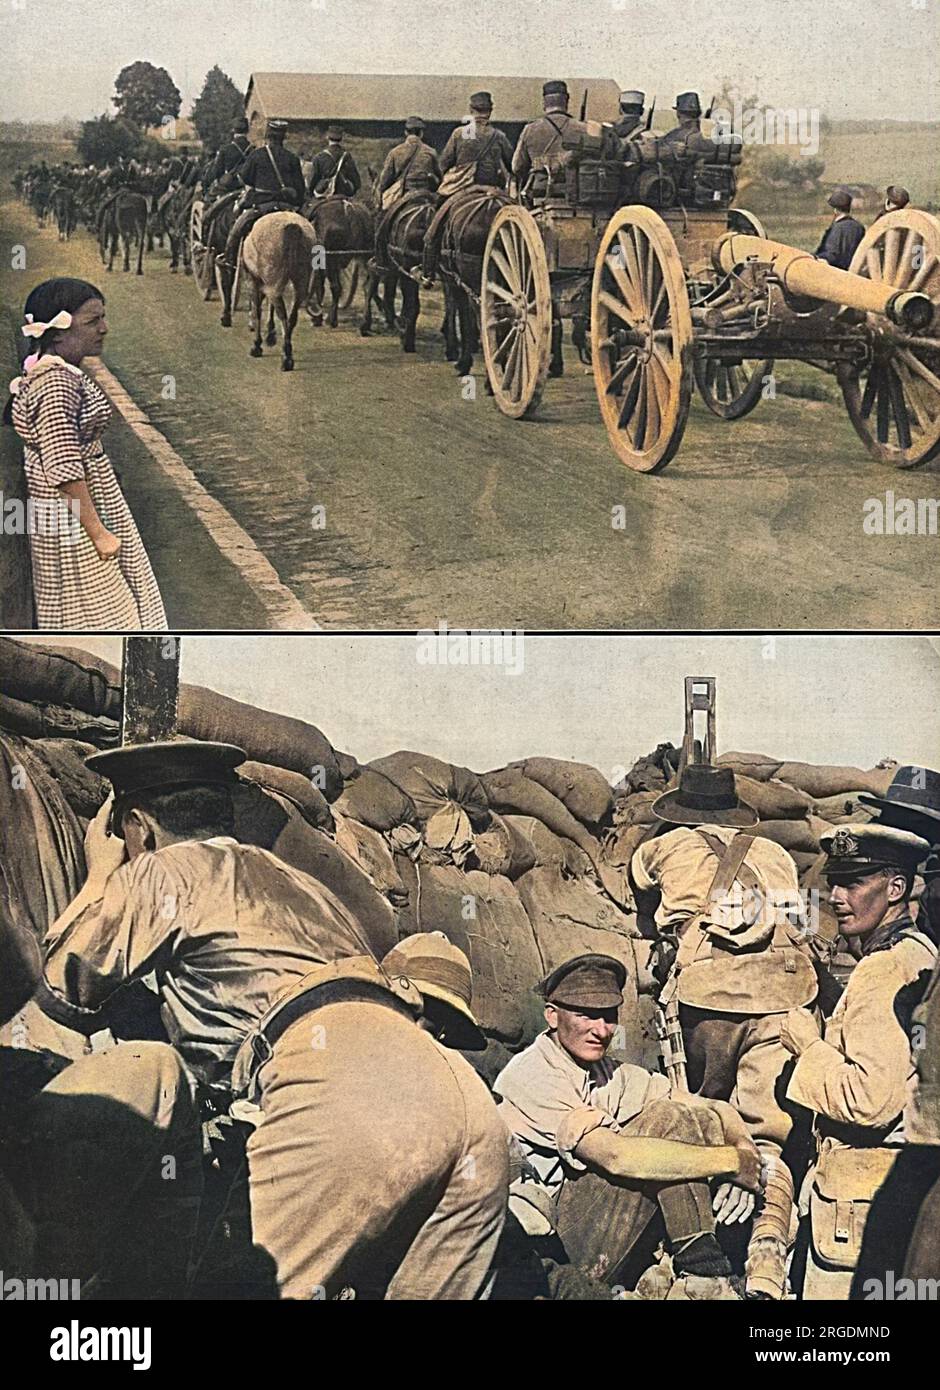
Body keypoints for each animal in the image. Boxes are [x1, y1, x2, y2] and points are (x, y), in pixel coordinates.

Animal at [240, 209, 317, 372]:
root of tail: (293, 228)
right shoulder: (268, 283)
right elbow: (269, 307)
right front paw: (270, 335)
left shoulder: (253, 281)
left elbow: (257, 311)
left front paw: (257, 345)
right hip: (300, 279)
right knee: (292, 316)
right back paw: (287, 351)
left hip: (273, 280)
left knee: (282, 314)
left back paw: (286, 357)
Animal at [301, 195, 375, 328]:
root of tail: (349, 209)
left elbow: (320, 287)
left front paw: (317, 318)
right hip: (365, 256)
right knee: (368, 285)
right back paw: (366, 322)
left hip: (331, 260)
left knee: (335, 287)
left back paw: (332, 320)